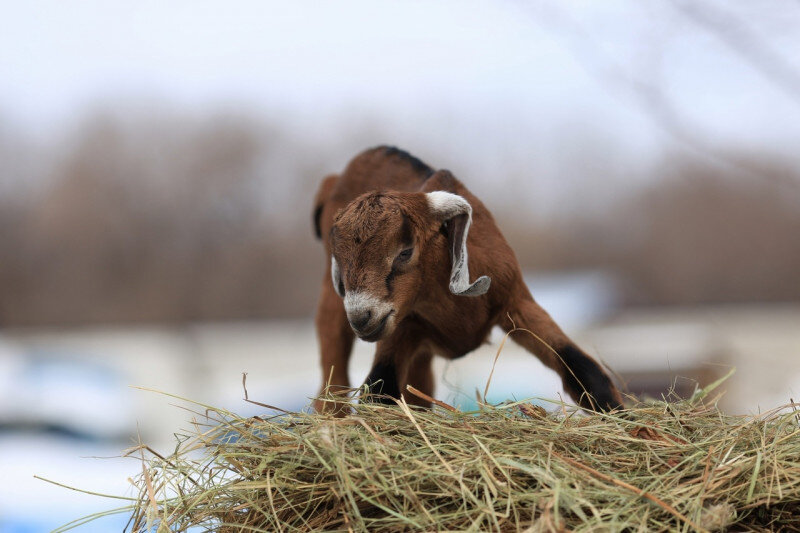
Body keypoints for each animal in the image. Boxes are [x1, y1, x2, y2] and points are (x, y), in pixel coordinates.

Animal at [312, 145, 624, 412]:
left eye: (405, 252)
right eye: (339, 259)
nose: (361, 318)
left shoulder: (516, 300)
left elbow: (583, 371)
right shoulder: (402, 326)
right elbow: (379, 392)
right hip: (333, 305)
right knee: (333, 382)